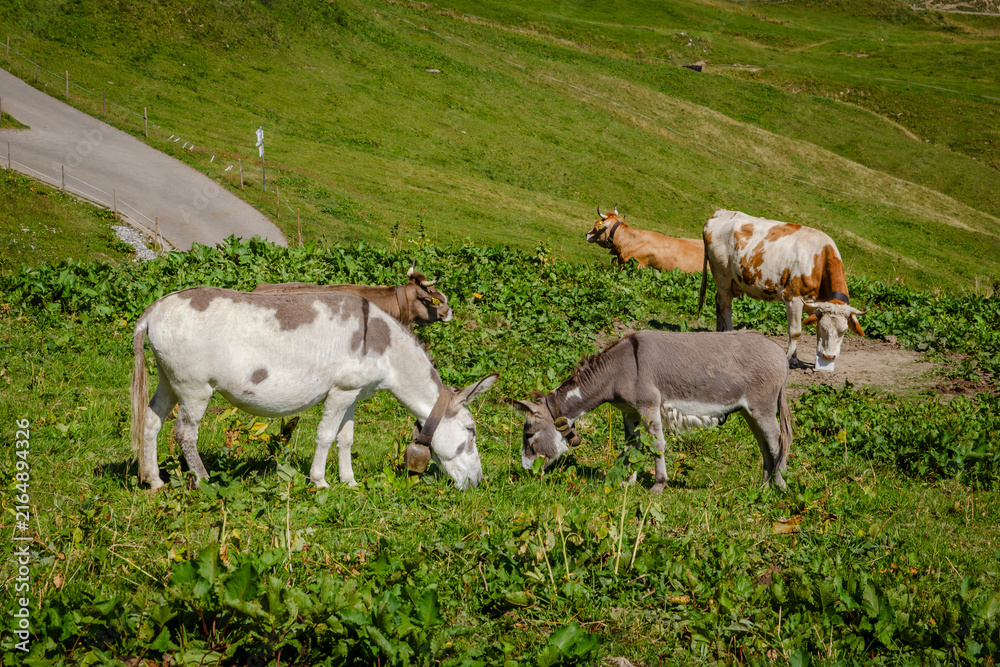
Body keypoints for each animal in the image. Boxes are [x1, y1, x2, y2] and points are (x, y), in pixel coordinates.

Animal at [697, 209, 866, 371]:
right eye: (826, 329)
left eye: (843, 331)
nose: (829, 356)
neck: (818, 260)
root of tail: (720, 213)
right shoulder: (793, 297)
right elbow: (795, 331)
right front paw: (789, 358)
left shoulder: (816, 305)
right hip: (722, 276)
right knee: (726, 307)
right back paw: (730, 332)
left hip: (729, 282)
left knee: (718, 302)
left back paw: (720, 332)